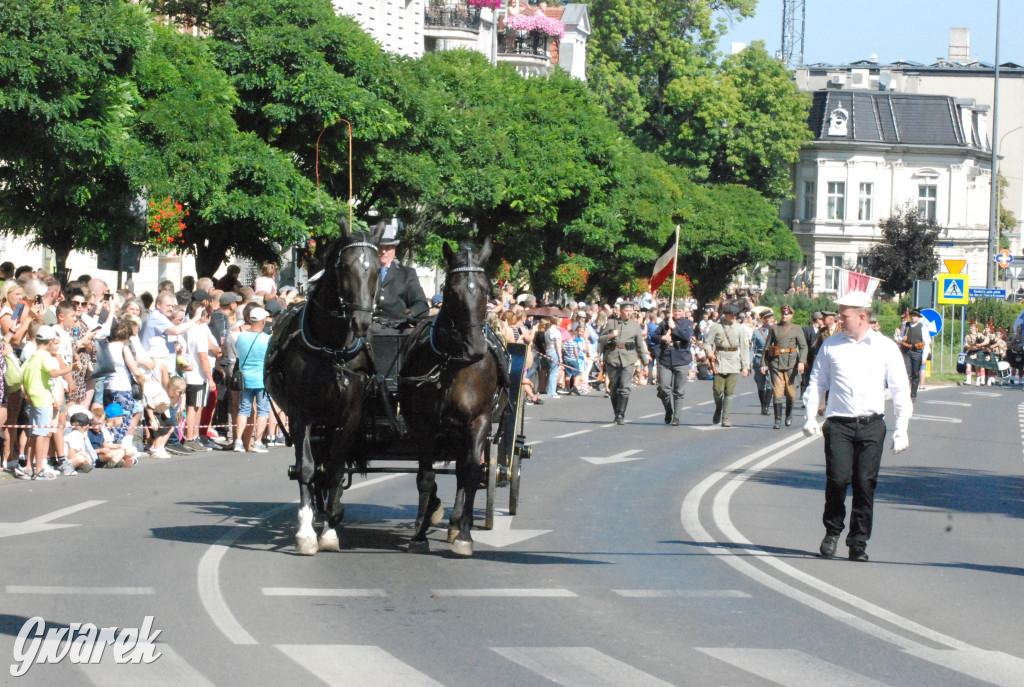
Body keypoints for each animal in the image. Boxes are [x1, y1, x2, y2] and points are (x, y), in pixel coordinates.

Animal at [266, 223, 385, 556]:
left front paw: (330, 532)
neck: (332, 348)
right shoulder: (300, 415)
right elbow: (306, 468)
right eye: (344, 267)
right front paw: (306, 532)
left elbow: (334, 469)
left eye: (378, 269)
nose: (361, 321)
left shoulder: (349, 417)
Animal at [395, 239, 499, 556]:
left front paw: (465, 535)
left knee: (464, 473)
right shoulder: (424, 426)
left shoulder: (479, 421)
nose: (476, 348)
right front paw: (420, 534)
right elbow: (426, 478)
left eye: (487, 289)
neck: (454, 364)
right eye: (452, 290)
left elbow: (471, 472)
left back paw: (457, 525)